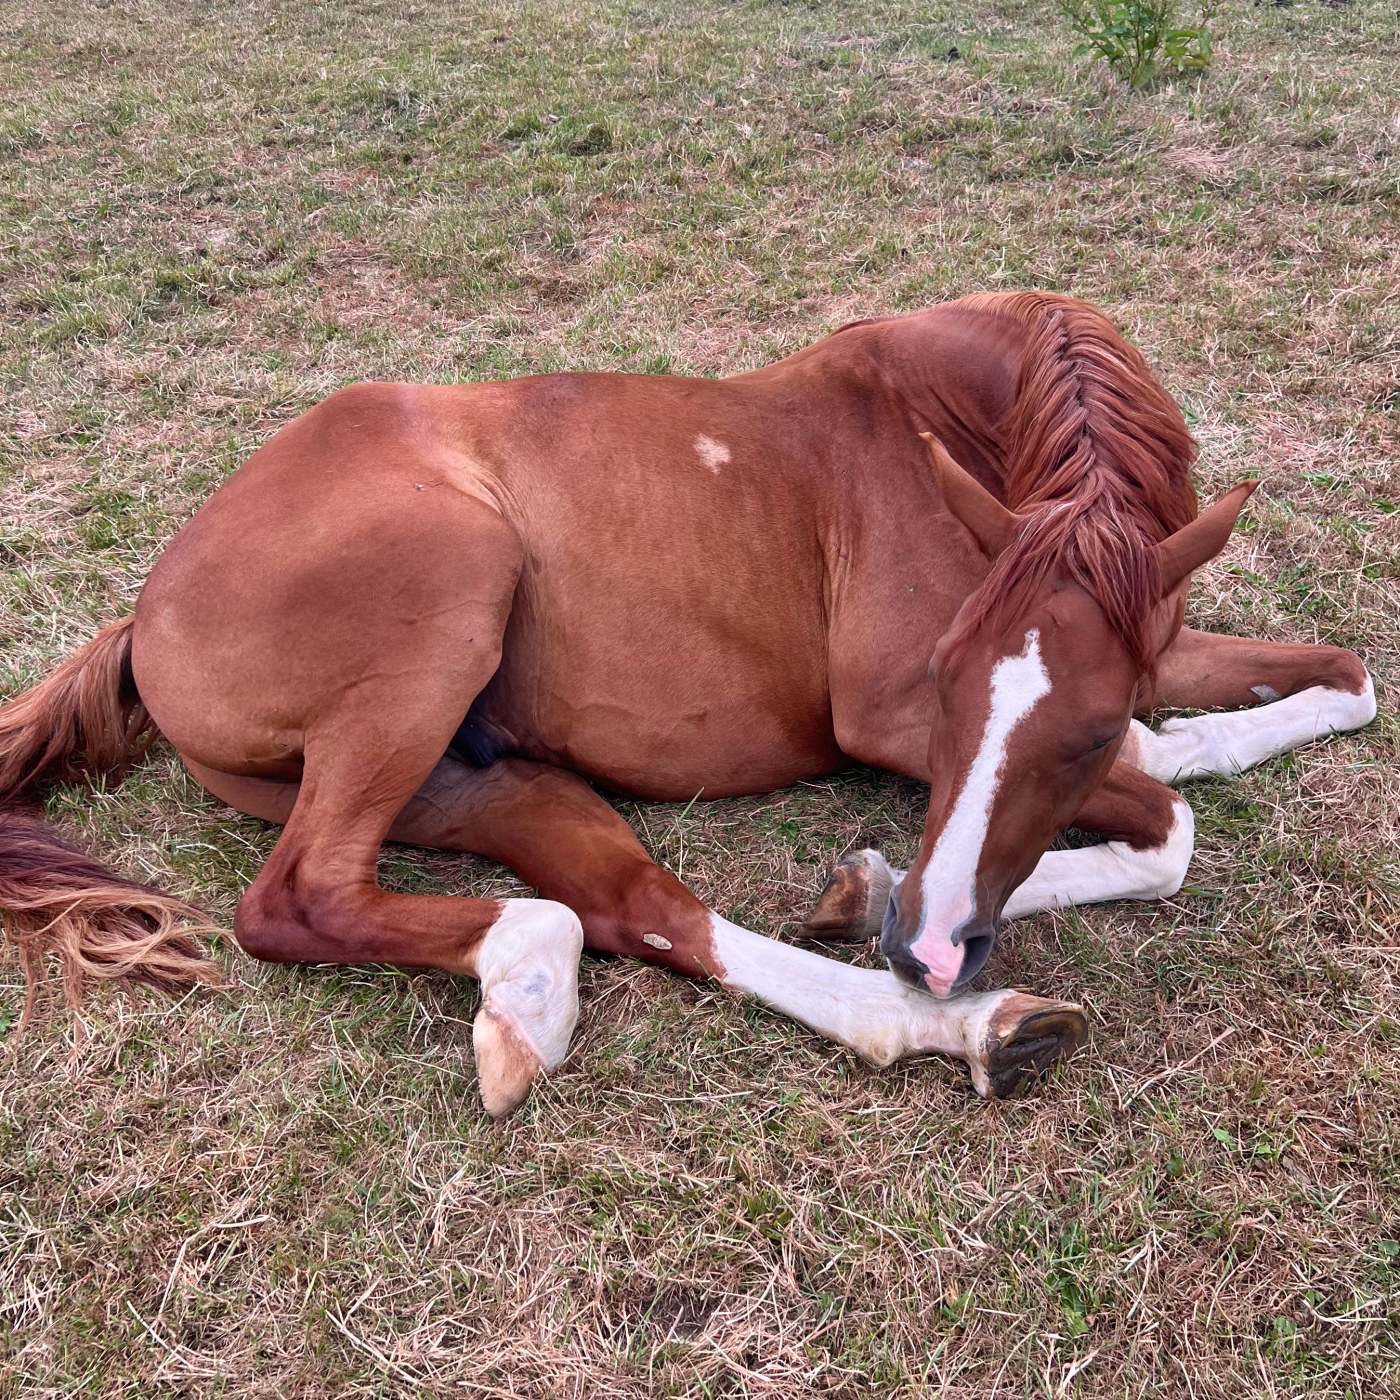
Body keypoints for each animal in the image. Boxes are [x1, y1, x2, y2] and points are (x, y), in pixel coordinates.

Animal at [0, 291, 1376, 1115]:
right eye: (942, 680)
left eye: (1077, 724)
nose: (924, 948)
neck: (946, 419)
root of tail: (146, 614)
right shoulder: (889, 717)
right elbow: (1163, 824)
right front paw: (889, 885)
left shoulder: (1154, 631)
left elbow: (1341, 680)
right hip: (442, 608)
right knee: (299, 897)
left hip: (482, 776)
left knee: (641, 909)